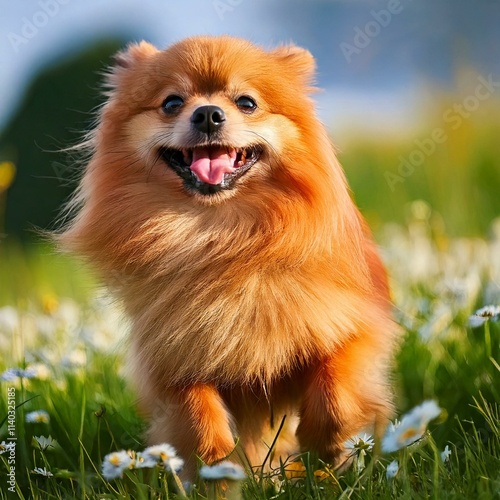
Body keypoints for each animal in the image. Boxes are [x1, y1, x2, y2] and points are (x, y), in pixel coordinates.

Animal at [58, 36, 396, 476]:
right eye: (171, 102)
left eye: (246, 102)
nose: (207, 114)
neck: (222, 237)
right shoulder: (172, 363)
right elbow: (197, 417)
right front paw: (218, 471)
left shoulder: (354, 326)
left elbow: (337, 386)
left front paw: (327, 444)